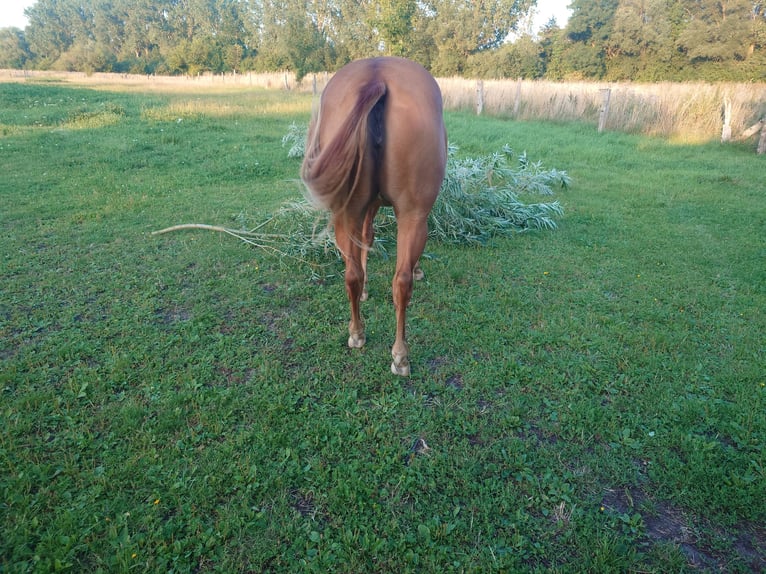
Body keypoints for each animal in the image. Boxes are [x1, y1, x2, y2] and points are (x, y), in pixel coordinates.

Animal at [301, 57, 447, 376]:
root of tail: (377, 77)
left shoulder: (366, 206)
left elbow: (365, 241)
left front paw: (366, 288)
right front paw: (418, 268)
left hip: (346, 213)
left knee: (351, 274)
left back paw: (357, 333)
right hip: (413, 215)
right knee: (402, 281)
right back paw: (400, 356)